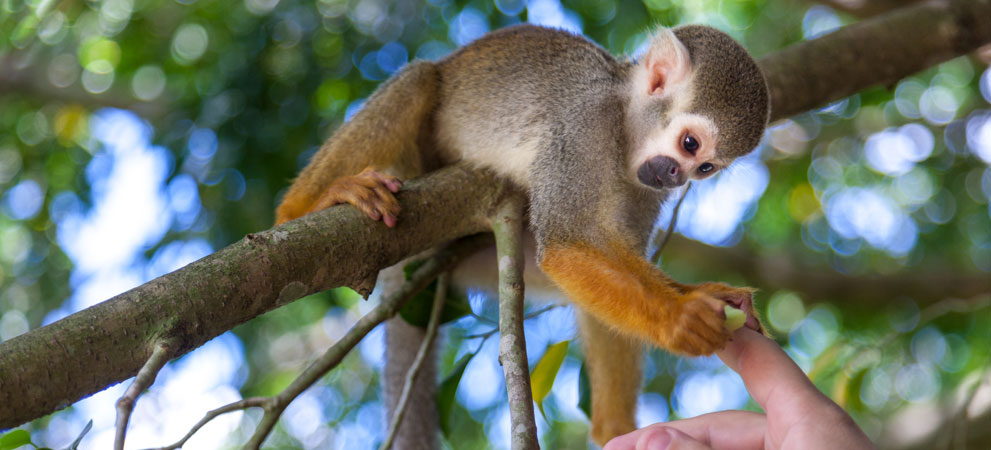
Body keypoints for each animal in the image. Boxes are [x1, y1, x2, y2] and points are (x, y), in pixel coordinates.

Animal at [276, 25, 772, 446]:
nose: (676, 177)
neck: (623, 131)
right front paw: (680, 317)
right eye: (689, 144)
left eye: (705, 168)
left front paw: (618, 429)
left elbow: (604, 259)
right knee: (418, 80)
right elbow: (566, 243)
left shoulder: (644, 188)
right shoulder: (581, 129)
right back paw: (304, 206)